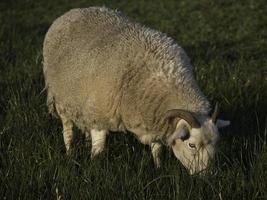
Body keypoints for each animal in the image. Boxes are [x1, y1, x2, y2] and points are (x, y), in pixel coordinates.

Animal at [42, 7, 230, 174]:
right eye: (191, 145)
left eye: (216, 143)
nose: (206, 175)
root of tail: (73, 11)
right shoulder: (99, 113)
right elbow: (98, 149)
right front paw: (94, 168)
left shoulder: (153, 120)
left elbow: (157, 149)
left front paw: (158, 168)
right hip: (62, 98)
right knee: (67, 130)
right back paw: (70, 153)